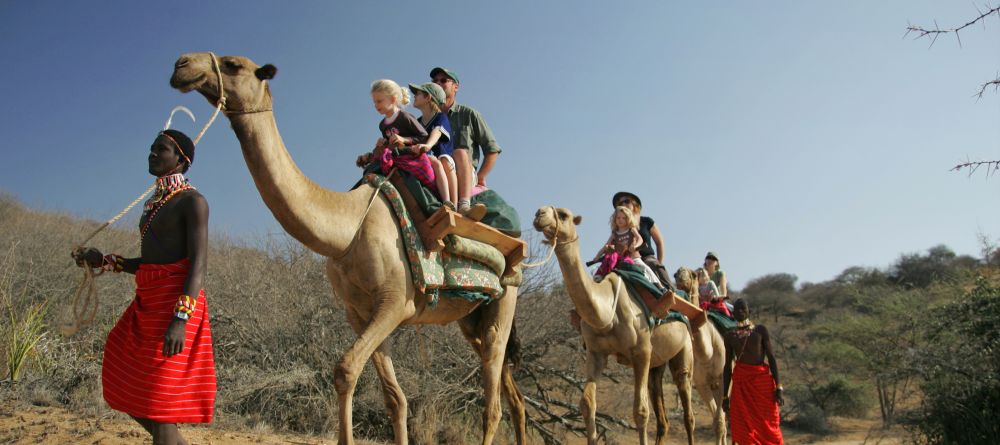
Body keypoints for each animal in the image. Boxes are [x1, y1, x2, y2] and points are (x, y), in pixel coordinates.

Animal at [169, 52, 526, 445]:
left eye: (233, 64)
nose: (183, 65)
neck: (348, 229)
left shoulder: (396, 302)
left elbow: (346, 369)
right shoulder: (360, 312)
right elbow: (393, 397)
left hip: (504, 297)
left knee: (492, 400)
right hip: (470, 317)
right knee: (512, 391)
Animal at [532, 206, 695, 445]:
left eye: (563, 215)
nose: (539, 214)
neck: (606, 309)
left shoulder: (641, 351)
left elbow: (640, 411)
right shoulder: (595, 352)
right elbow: (587, 403)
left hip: (684, 351)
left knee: (687, 408)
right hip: (657, 364)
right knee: (663, 418)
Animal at [674, 267, 729, 445]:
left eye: (692, 274)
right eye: (676, 273)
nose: (681, 279)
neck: (707, 353)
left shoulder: (723, 379)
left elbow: (720, 422)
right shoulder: (702, 383)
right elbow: (717, 422)